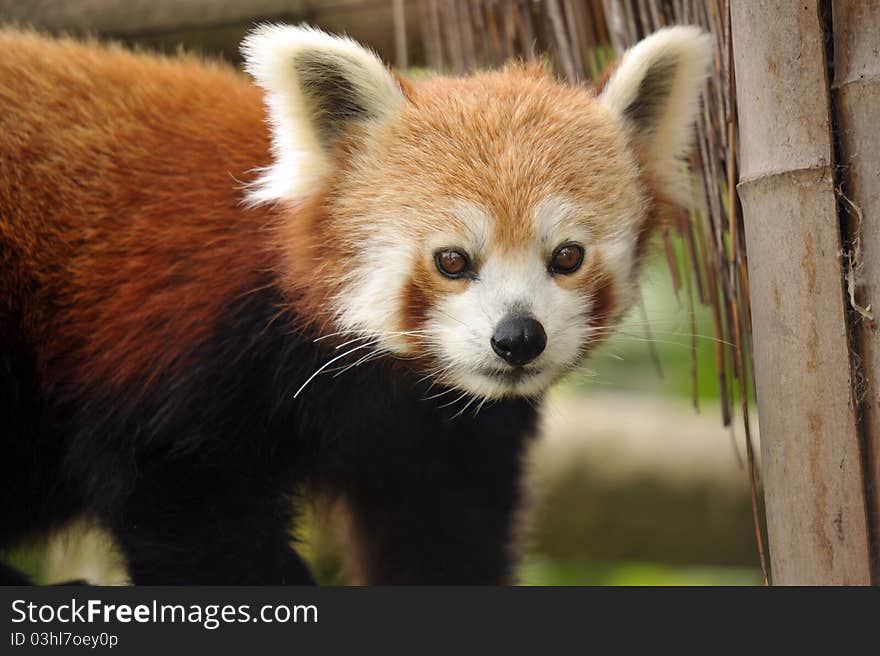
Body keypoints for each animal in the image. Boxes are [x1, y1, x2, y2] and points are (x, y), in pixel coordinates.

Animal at [0, 25, 712, 584]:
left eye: (566, 256)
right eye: (452, 260)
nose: (518, 338)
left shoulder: (444, 433)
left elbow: (443, 531)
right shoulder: (182, 351)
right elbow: (181, 503)